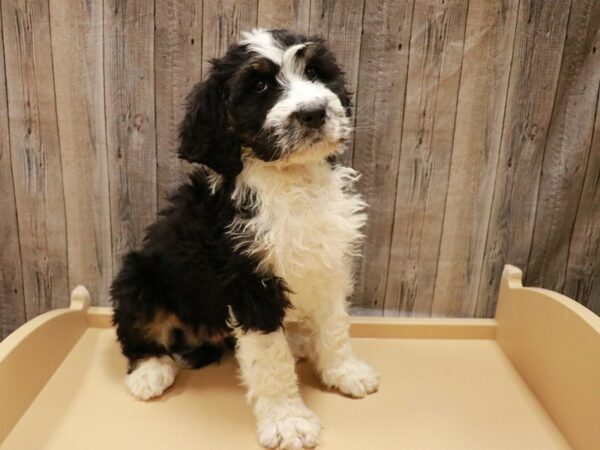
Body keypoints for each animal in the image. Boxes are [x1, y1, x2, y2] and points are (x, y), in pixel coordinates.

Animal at [110, 28, 378, 450]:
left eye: (314, 72)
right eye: (259, 86)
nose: (314, 112)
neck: (292, 179)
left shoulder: (329, 262)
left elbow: (335, 325)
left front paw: (344, 371)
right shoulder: (250, 281)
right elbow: (269, 357)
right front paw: (288, 421)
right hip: (137, 278)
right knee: (138, 332)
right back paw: (150, 372)